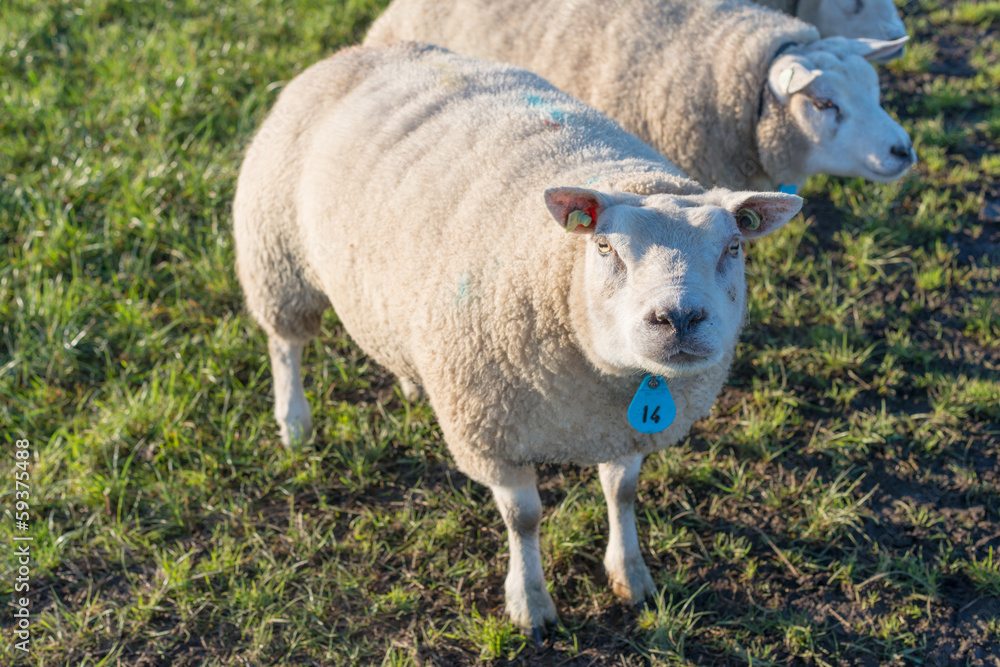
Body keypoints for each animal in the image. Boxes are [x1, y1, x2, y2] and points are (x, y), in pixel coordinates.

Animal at [234, 42, 802, 634]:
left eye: (733, 247)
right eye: (605, 246)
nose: (680, 317)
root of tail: (362, 51)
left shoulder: (623, 429)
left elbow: (621, 492)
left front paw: (631, 576)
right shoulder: (491, 433)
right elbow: (523, 518)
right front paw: (530, 603)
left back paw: (409, 382)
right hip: (276, 257)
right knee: (284, 344)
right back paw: (294, 422)